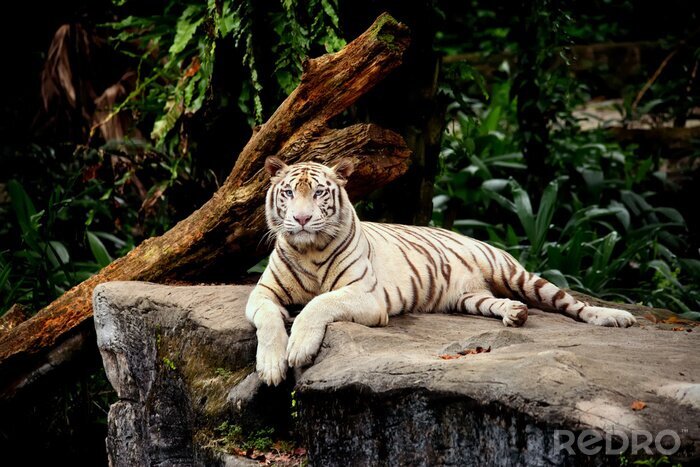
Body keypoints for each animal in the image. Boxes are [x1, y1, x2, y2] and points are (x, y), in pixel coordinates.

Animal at [245, 156, 636, 386]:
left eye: (319, 194)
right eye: (289, 193)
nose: (301, 219)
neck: (308, 249)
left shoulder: (366, 296)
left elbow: (318, 304)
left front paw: (298, 349)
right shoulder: (262, 293)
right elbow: (268, 320)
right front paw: (271, 366)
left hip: (517, 274)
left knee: (572, 302)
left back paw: (614, 317)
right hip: (468, 298)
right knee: (493, 303)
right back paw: (514, 313)